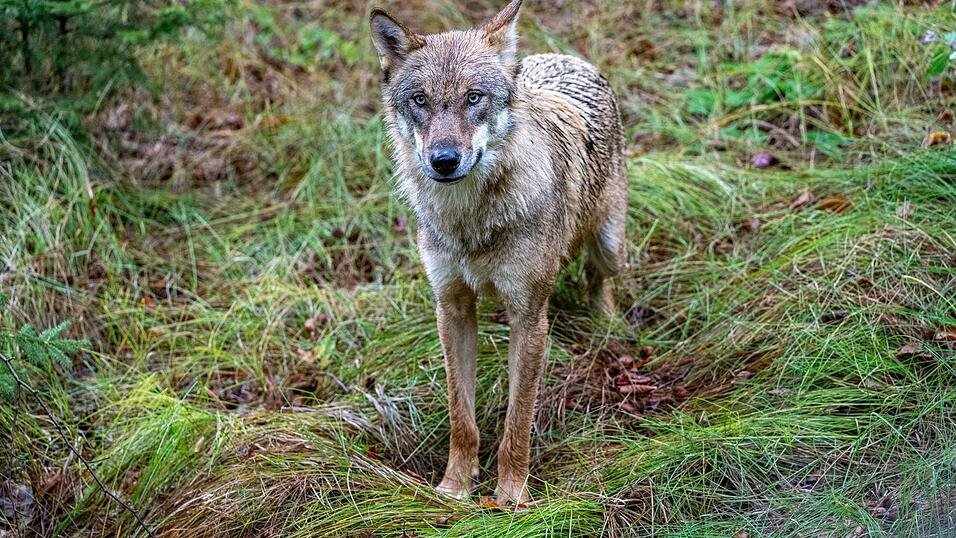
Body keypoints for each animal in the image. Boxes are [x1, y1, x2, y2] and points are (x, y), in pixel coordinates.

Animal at [370, 0, 627, 504]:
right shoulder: (451, 307)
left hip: (610, 245)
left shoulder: (529, 318)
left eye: (474, 98)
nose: (443, 160)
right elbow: (461, 416)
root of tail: (565, 58)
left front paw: (510, 497)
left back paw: (607, 324)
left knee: (598, 277)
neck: (470, 221)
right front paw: (454, 487)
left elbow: (517, 421)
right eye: (421, 100)